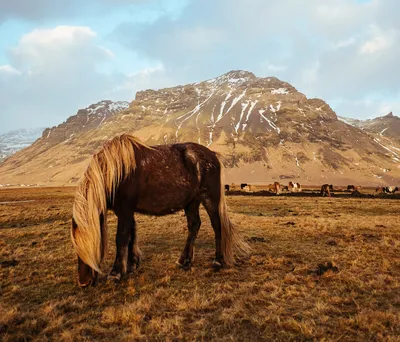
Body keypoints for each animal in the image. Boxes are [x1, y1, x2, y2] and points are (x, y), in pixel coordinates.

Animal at [70, 135, 248, 288]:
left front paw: (116, 273)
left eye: (91, 243)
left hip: (209, 198)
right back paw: (184, 261)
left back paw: (217, 261)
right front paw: (132, 264)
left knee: (217, 226)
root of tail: (212, 156)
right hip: (191, 202)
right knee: (194, 225)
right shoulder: (127, 212)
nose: (84, 282)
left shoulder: (125, 210)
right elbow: (131, 235)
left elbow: (121, 238)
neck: (117, 172)